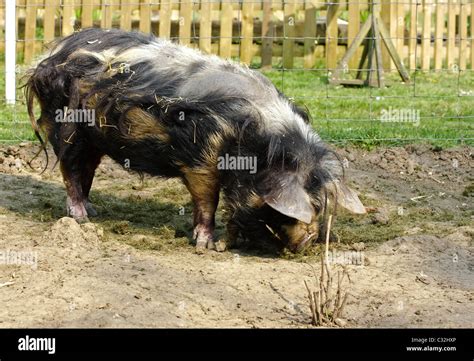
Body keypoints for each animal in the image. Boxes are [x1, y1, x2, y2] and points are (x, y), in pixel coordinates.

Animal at [24, 28, 366, 252]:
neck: (261, 144)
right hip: (67, 124)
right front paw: (206, 244)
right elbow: (206, 200)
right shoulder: (201, 157)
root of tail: (50, 55)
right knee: (70, 169)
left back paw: (93, 211)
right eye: (296, 209)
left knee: (87, 171)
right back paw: (81, 219)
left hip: (94, 137)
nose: (308, 242)